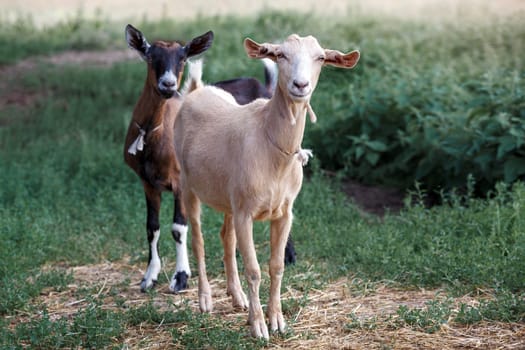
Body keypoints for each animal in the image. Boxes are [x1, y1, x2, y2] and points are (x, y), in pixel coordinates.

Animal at [174, 34, 358, 338]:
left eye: (320, 57)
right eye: (280, 55)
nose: (300, 85)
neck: (271, 148)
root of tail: (196, 90)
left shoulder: (283, 212)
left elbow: (277, 266)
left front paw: (277, 321)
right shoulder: (246, 213)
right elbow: (254, 269)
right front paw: (259, 326)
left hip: (228, 198)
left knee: (226, 237)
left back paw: (237, 297)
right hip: (188, 185)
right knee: (198, 239)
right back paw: (205, 300)